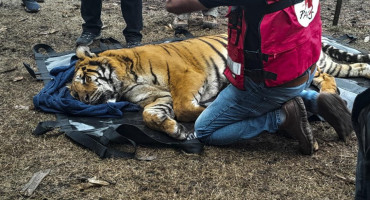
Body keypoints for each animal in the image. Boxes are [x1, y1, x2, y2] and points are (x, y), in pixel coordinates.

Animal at [68, 34, 370, 140]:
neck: (125, 82)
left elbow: (186, 107)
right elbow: (150, 115)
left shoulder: (186, 76)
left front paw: (207, 108)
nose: (84, 100)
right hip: (333, 65)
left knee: (326, 78)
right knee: (356, 68)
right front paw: (174, 130)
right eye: (73, 93)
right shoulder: (155, 99)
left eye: (84, 80)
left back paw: (330, 95)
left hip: (311, 66)